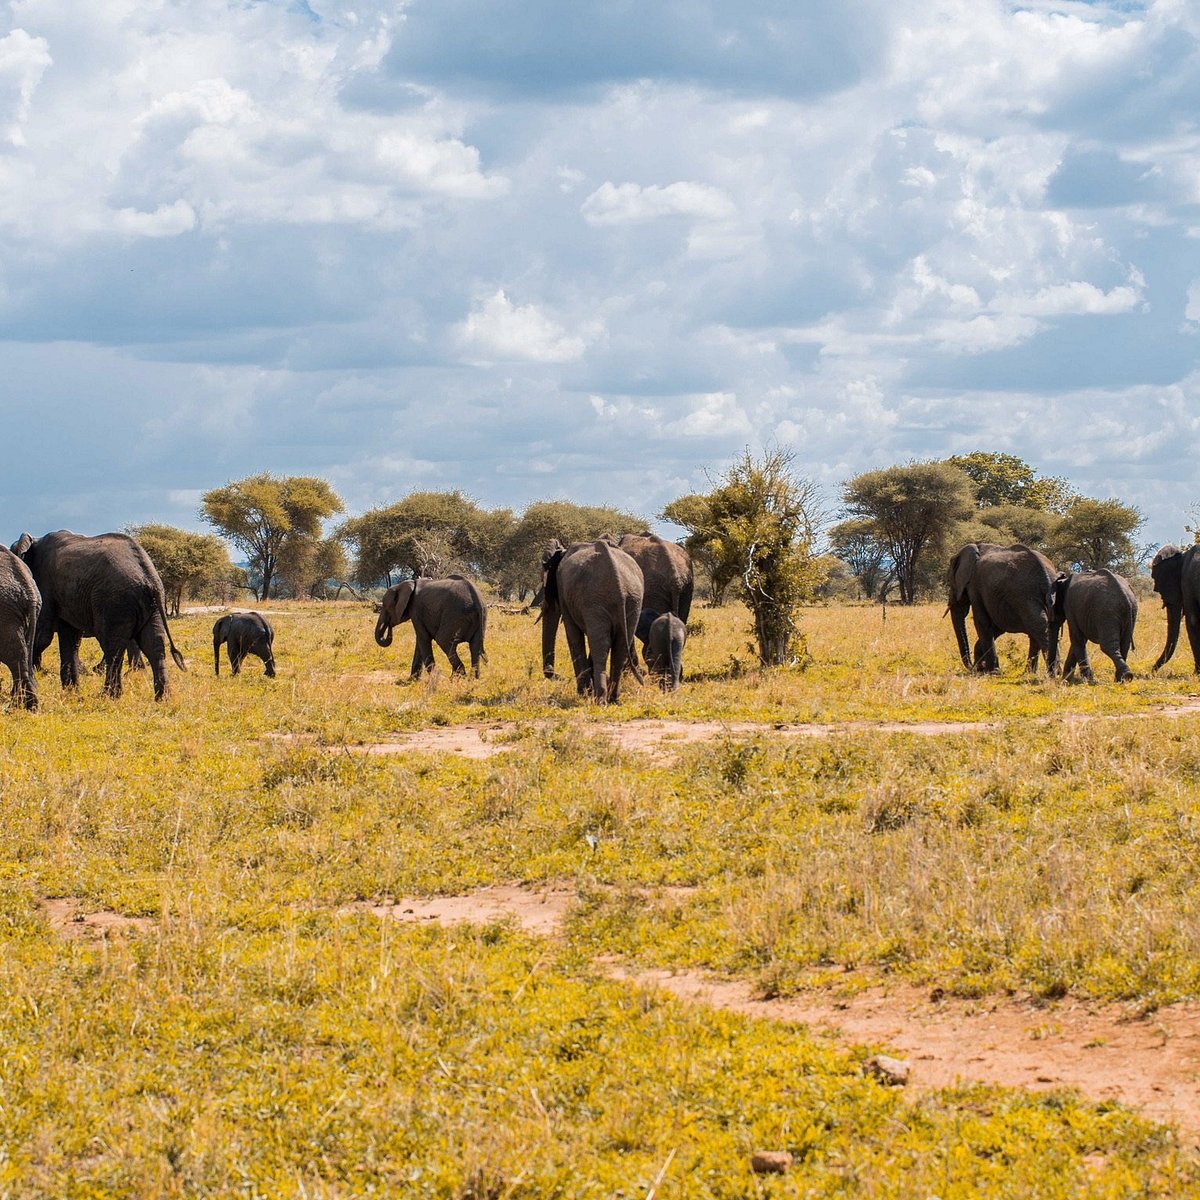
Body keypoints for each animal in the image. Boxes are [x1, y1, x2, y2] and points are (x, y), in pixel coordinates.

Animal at [10, 530, 187, 700]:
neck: (35, 539)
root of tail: (149, 575)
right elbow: (70, 636)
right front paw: (71, 691)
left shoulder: (45, 585)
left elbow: (42, 635)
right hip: (151, 605)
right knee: (153, 645)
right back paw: (162, 697)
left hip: (114, 601)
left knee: (112, 647)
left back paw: (108, 695)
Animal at [544, 537, 648, 700]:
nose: (558, 677)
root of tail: (617, 580)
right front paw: (588, 690)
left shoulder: (564, 593)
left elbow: (573, 637)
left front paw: (583, 692)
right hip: (633, 601)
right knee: (618, 646)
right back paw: (613, 698)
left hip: (594, 600)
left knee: (600, 644)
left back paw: (600, 699)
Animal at [945, 544, 1060, 676]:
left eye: (950, 582)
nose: (972, 668)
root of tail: (1047, 578)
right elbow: (997, 626)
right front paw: (984, 668)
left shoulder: (975, 586)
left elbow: (982, 622)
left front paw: (991, 671)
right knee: (1039, 627)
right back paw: (1030, 673)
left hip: (1024, 595)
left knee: (1038, 625)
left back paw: (1053, 674)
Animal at [1142, 547, 1200, 676]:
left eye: (1154, 578)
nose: (1151, 672)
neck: (1181, 556)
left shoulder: (1186, 581)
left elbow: (1192, 622)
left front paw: (1197, 673)